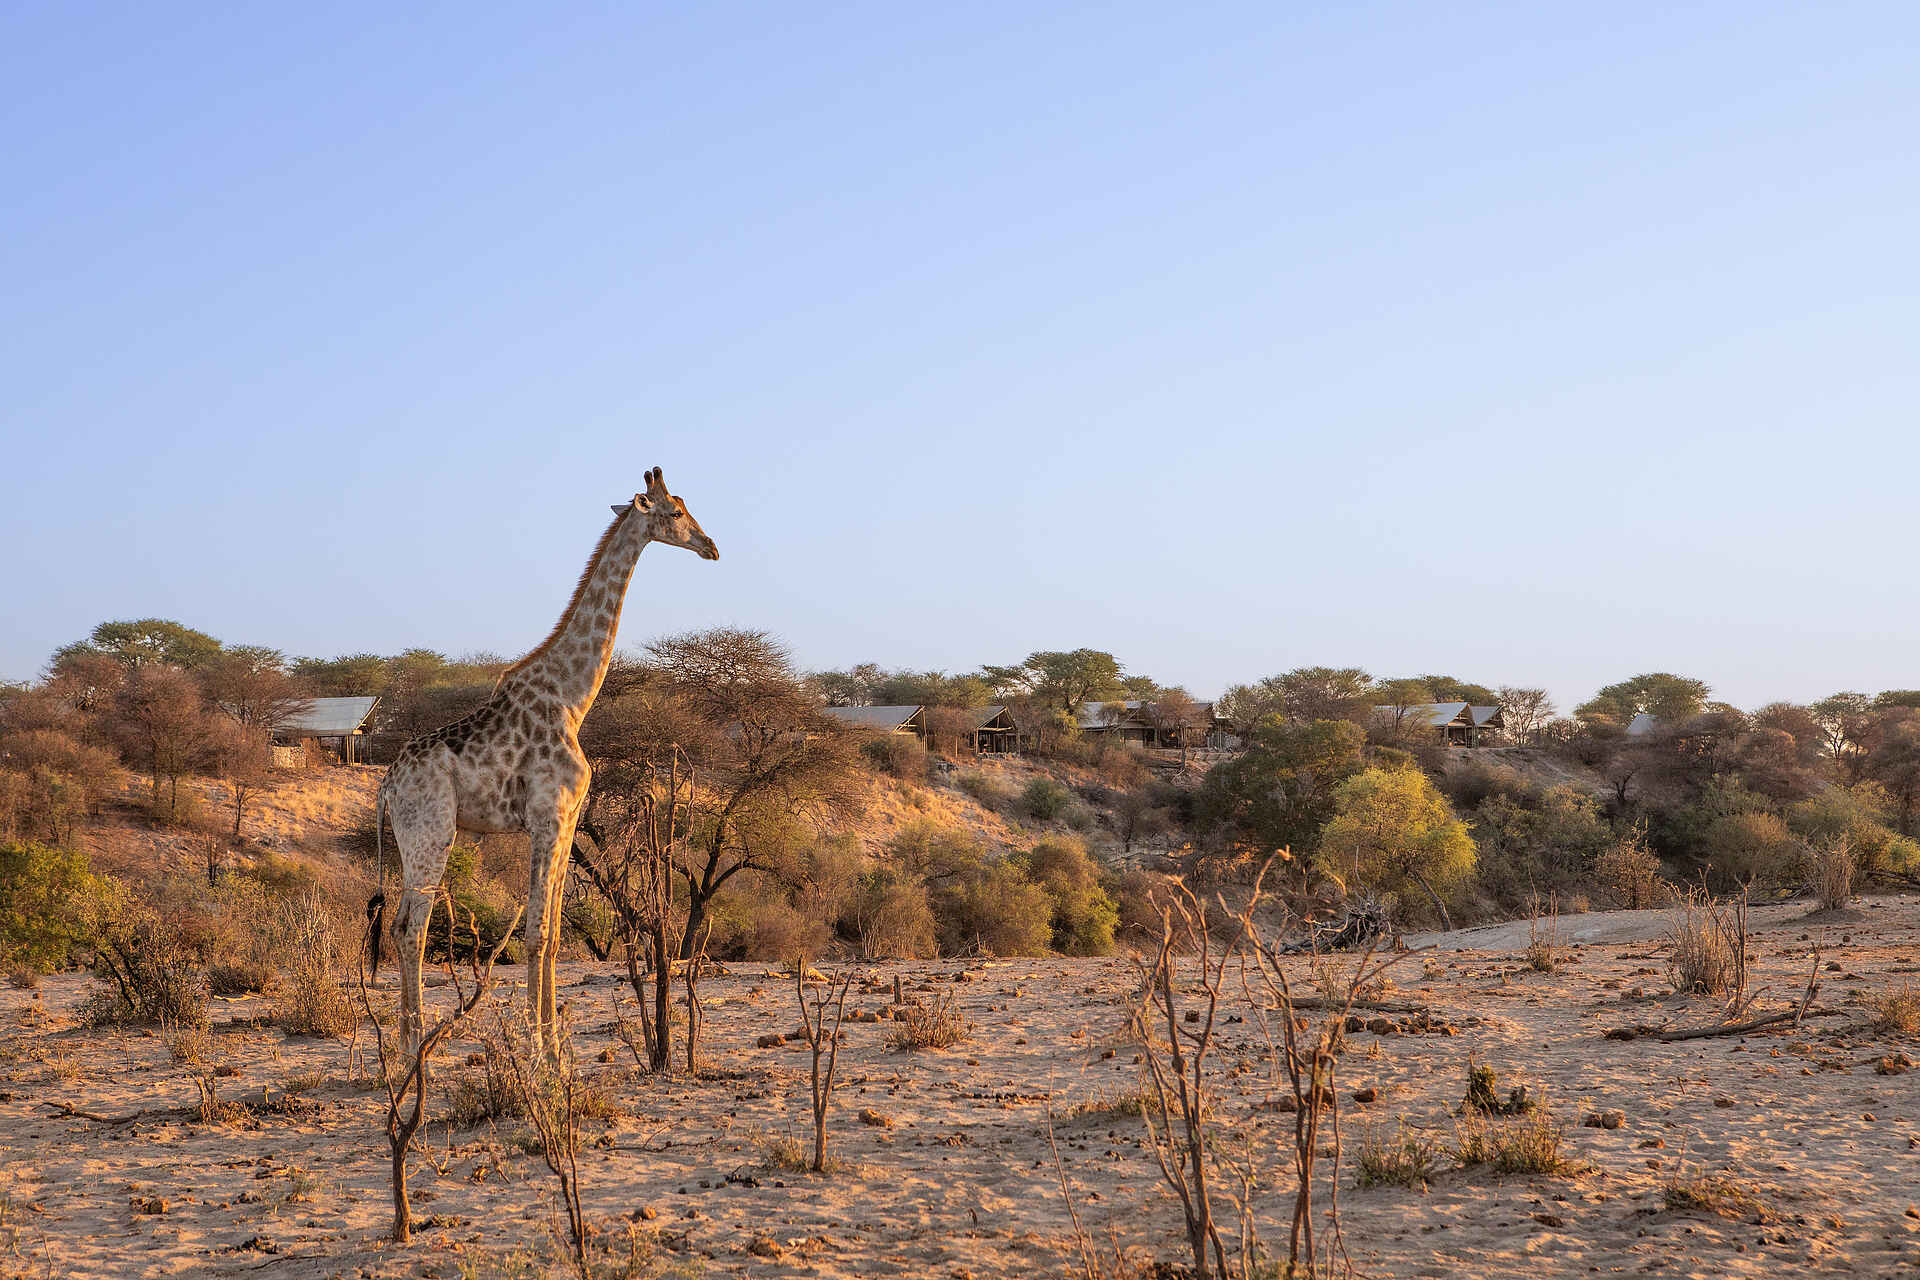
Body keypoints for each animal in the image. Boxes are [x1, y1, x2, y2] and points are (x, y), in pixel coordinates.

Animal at [368, 466, 718, 1059]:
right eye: (676, 512)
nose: (712, 546)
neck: (573, 698)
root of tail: (387, 785)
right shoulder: (546, 817)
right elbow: (535, 934)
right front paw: (536, 1050)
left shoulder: (570, 819)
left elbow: (553, 934)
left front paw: (556, 1049)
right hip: (431, 834)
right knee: (409, 929)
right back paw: (413, 1055)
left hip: (415, 838)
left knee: (400, 927)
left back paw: (407, 1055)